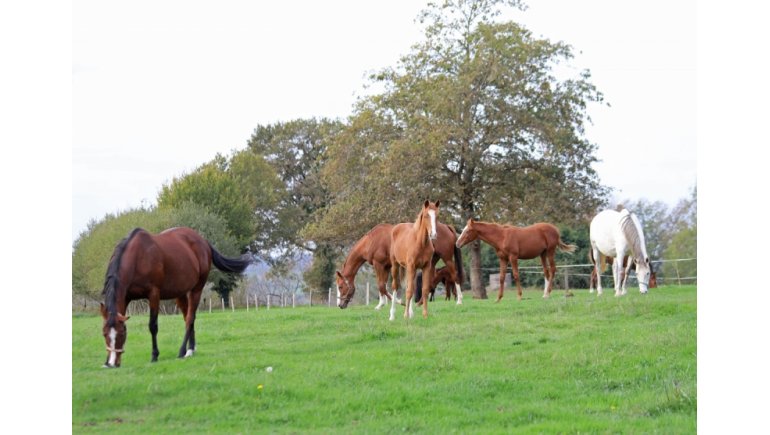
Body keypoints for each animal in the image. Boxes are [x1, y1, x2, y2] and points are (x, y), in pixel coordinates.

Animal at [99, 227, 251, 368]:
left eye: (121, 334)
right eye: (104, 334)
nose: (112, 363)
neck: (138, 258)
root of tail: (203, 241)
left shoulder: (154, 295)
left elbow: (152, 326)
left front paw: (154, 355)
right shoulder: (125, 298)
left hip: (196, 289)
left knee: (190, 318)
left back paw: (183, 351)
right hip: (180, 293)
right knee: (188, 318)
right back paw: (191, 349)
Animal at [335, 222, 464, 309]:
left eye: (340, 287)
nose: (340, 305)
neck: (371, 241)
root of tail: (446, 226)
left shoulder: (379, 265)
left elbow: (381, 286)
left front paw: (398, 302)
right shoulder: (386, 267)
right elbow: (383, 286)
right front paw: (381, 304)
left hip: (447, 258)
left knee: (455, 275)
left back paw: (459, 300)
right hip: (431, 262)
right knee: (430, 283)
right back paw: (420, 303)